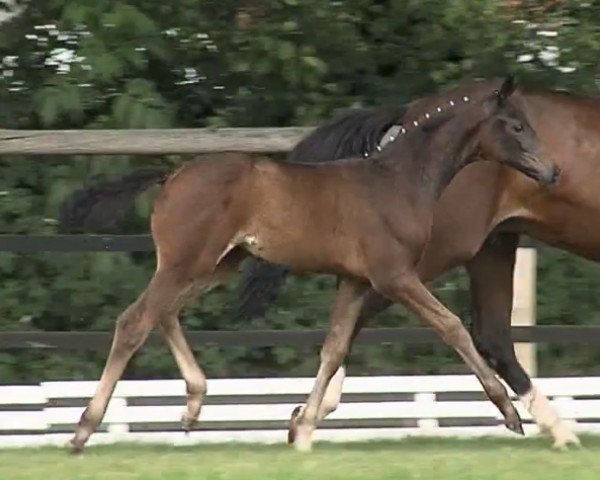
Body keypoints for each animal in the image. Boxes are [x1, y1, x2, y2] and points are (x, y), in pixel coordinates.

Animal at [61, 76, 556, 454]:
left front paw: (301, 430)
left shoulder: (355, 281)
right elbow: (452, 326)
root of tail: (171, 177)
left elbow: (333, 348)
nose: (552, 173)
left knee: (163, 313)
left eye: (530, 124)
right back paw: (84, 430)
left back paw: (194, 405)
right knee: (133, 321)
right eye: (516, 125)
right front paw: (510, 413)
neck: (398, 180)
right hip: (187, 262)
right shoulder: (394, 276)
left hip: (216, 264)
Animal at [234, 79, 600, 450]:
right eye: (517, 127)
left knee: (488, 336)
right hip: (424, 258)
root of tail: (407, 115)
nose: (554, 172)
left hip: (488, 247)